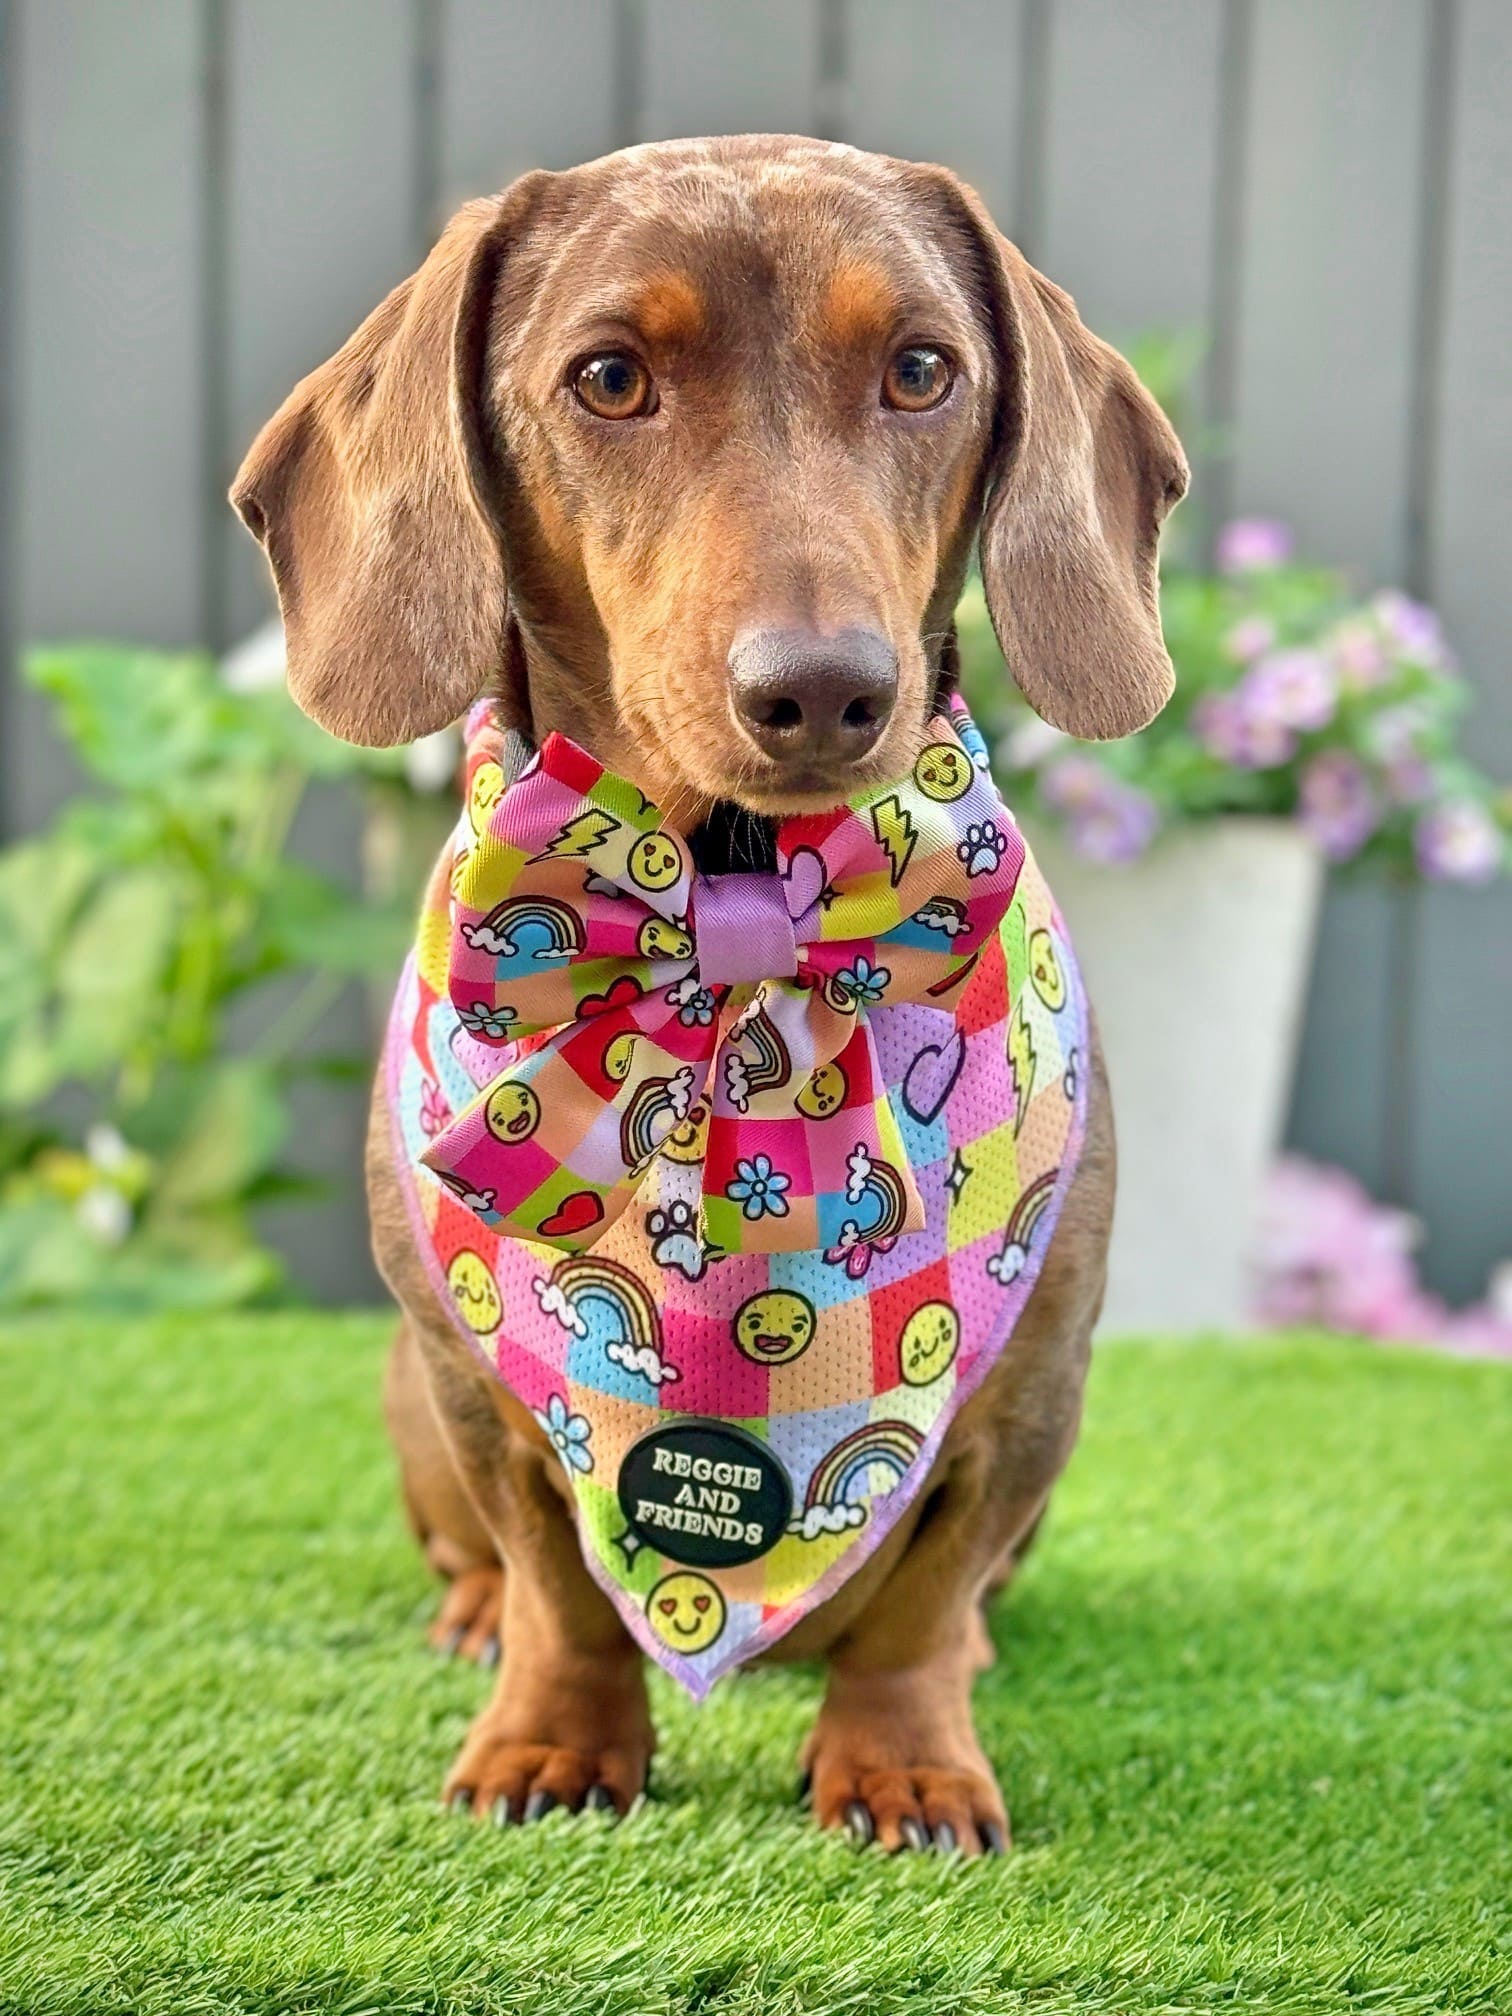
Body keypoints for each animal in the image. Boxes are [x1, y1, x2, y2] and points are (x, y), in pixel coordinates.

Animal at [233, 134, 1185, 1846]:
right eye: (610, 377)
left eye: (922, 370)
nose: (824, 691)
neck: (730, 909)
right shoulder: (477, 1395)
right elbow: (557, 1580)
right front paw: (550, 1735)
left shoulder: (1032, 1401)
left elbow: (923, 1601)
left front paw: (906, 1756)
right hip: (410, 1395)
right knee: (475, 1558)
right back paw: (469, 1619)